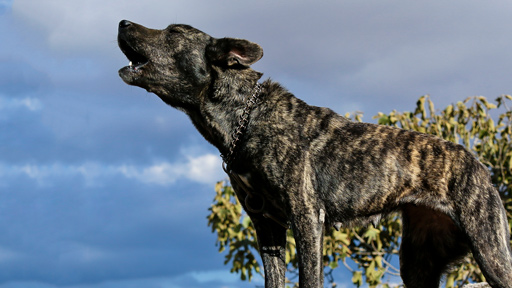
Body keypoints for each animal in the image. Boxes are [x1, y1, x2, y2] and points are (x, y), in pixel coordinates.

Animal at [117, 19, 512, 286]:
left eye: (173, 33)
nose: (122, 22)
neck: (246, 117)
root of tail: (478, 165)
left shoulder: (306, 216)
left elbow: (309, 279)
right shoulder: (267, 227)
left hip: (490, 251)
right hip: (418, 263)